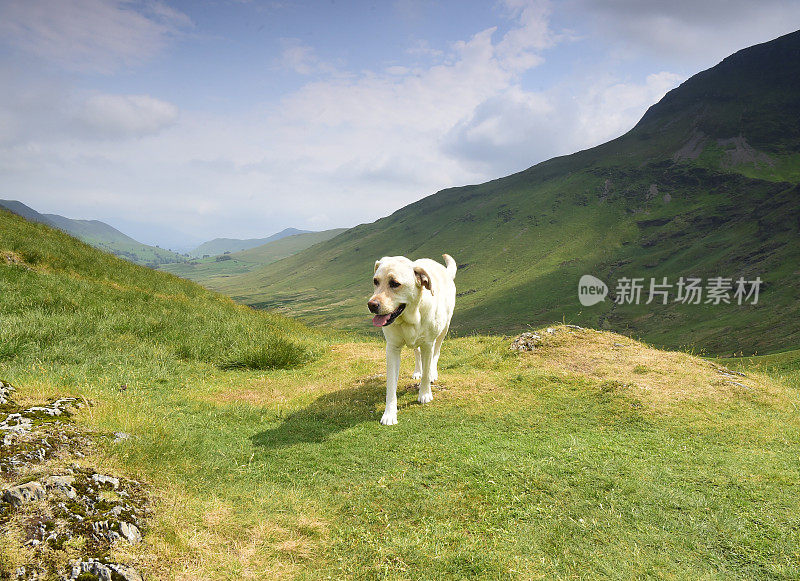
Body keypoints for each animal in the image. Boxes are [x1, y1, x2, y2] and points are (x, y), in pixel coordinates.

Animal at [368, 251, 456, 424]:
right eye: (376, 281)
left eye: (395, 283)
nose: (371, 305)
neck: (409, 318)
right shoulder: (392, 349)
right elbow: (391, 385)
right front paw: (389, 413)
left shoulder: (428, 343)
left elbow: (427, 368)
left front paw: (425, 394)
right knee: (417, 353)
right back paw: (417, 371)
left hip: (443, 330)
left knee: (436, 353)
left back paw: (432, 373)